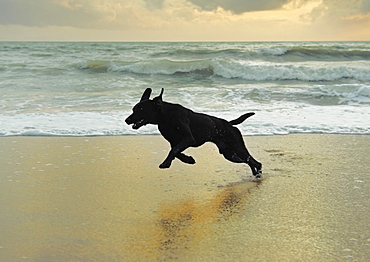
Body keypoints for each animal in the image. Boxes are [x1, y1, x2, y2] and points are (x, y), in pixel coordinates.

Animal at [125, 88, 262, 178]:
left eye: (141, 109)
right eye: (133, 109)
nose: (127, 120)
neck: (165, 117)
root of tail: (229, 123)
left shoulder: (188, 138)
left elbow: (174, 150)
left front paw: (166, 163)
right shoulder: (174, 142)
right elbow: (176, 152)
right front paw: (188, 159)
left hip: (237, 147)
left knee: (254, 161)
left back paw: (259, 172)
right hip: (229, 154)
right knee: (248, 161)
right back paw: (255, 173)